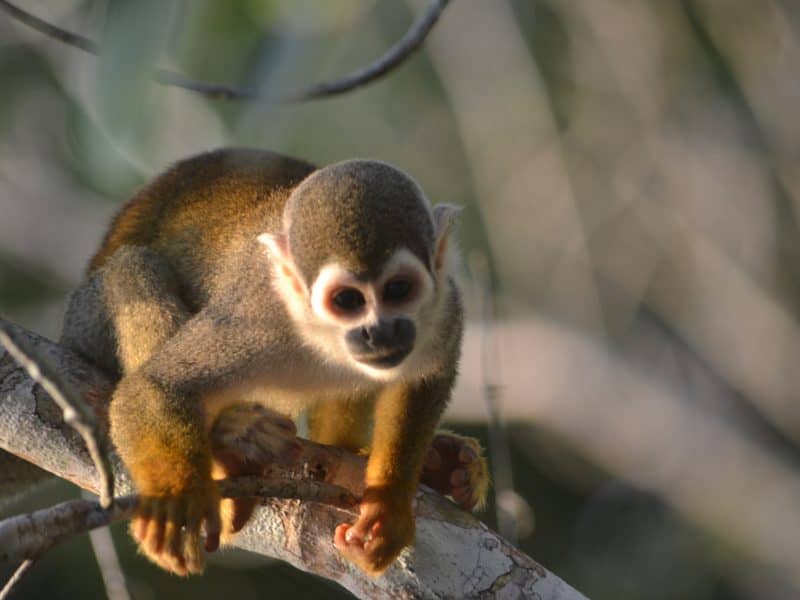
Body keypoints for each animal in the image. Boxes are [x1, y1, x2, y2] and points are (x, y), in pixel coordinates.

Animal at [59, 149, 488, 576]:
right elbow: (156, 385)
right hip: (88, 320)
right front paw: (176, 500)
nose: (378, 332)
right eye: (347, 300)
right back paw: (230, 443)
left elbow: (425, 377)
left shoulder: (445, 306)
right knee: (132, 267)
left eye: (399, 289)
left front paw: (389, 507)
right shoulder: (254, 316)